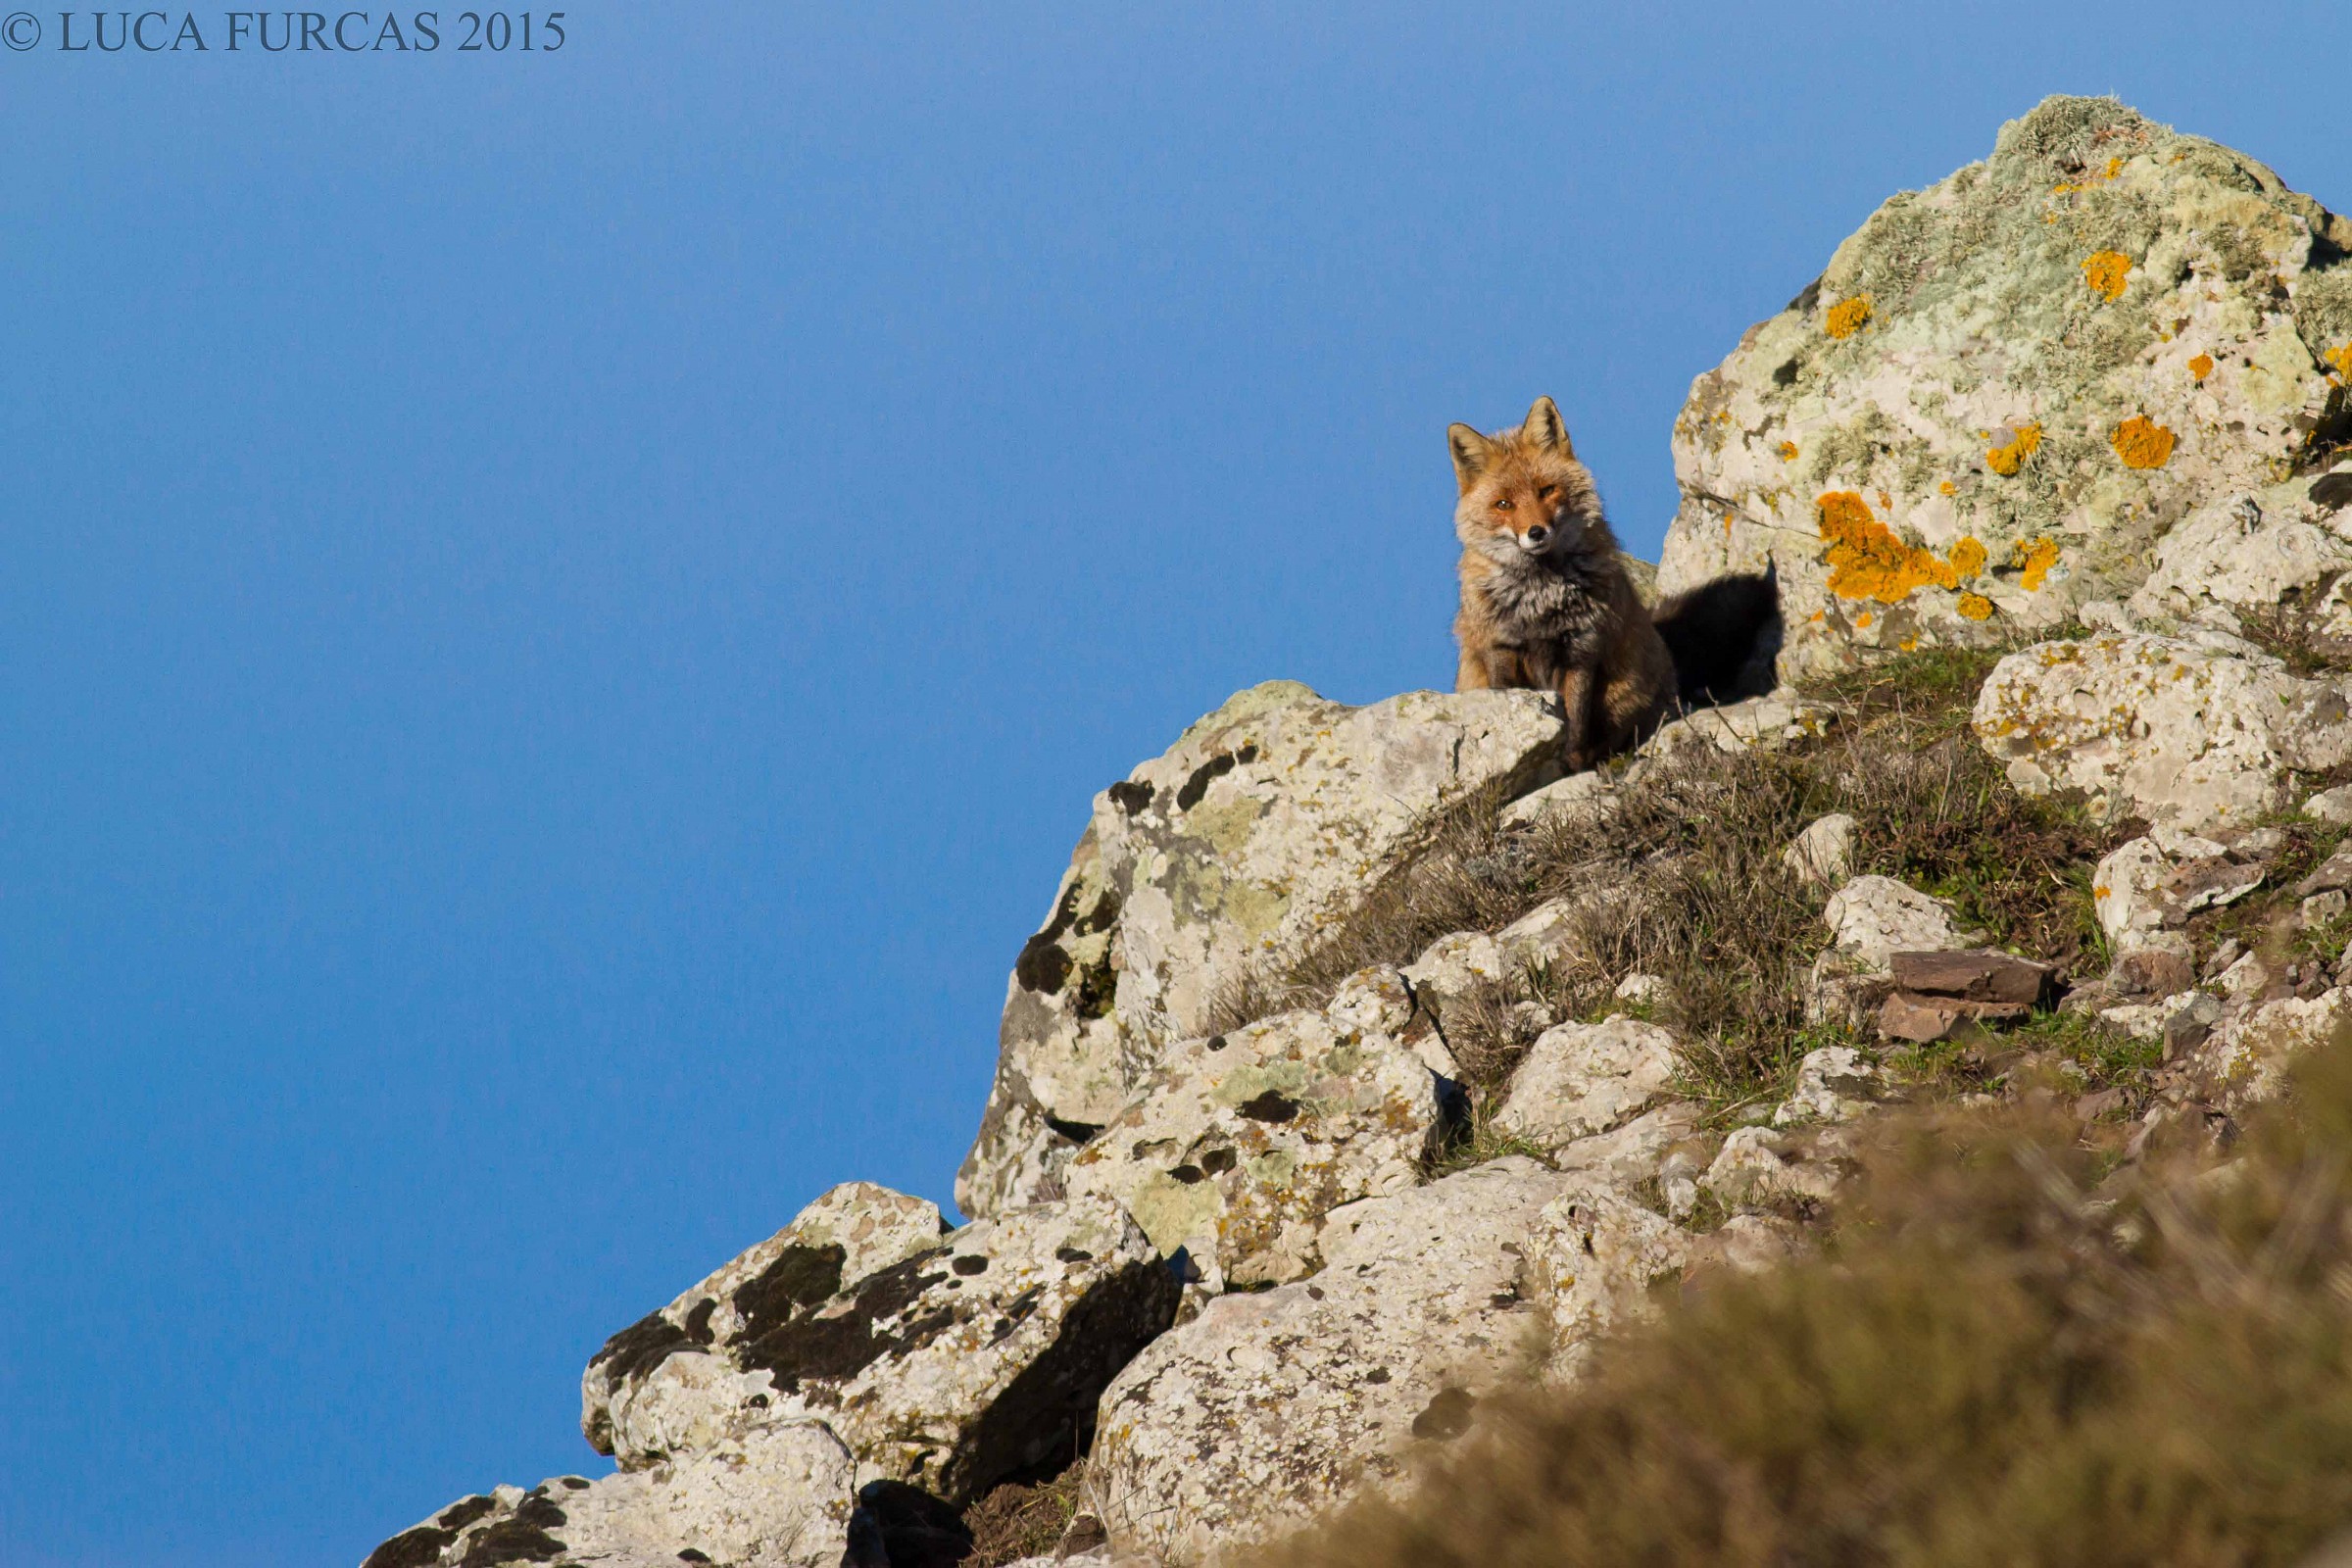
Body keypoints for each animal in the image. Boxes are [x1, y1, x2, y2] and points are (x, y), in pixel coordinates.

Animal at [1448, 396, 1676, 771]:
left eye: (1547, 490)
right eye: (1503, 504)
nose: (1536, 532)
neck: (1538, 600)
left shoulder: (1581, 652)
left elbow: (1576, 723)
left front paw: (1571, 766)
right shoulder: (1500, 646)